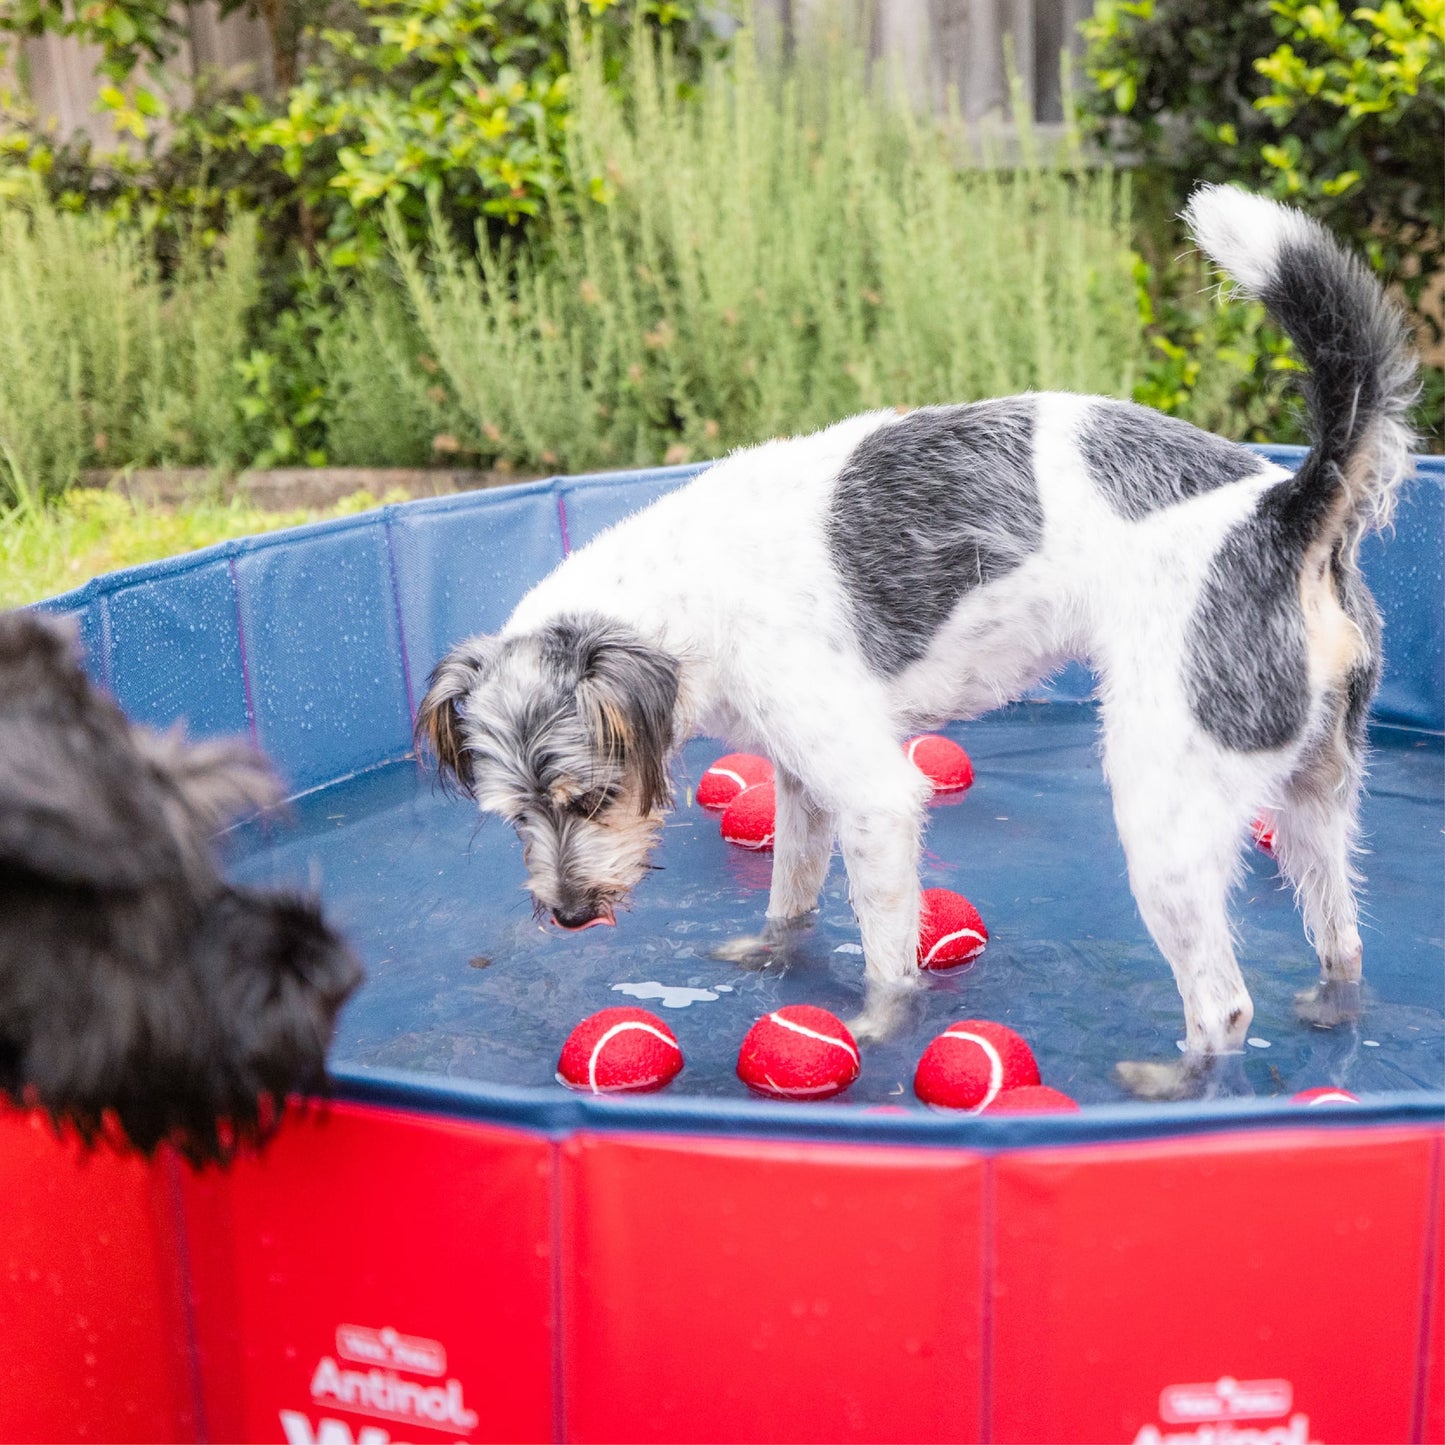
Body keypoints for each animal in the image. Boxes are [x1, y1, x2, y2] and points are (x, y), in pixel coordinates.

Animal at [419, 189, 1410, 1092]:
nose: (569, 916)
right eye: (515, 817)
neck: (680, 594)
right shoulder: (801, 781)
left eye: (591, 799)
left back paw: (1175, 1085)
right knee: (1345, 943)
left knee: (1222, 1004)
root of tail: (1286, 509)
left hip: (1164, 814)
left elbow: (889, 958)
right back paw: (1329, 1012)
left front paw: (874, 1033)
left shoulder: (876, 800)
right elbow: (791, 898)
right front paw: (769, 957)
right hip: (1313, 801)